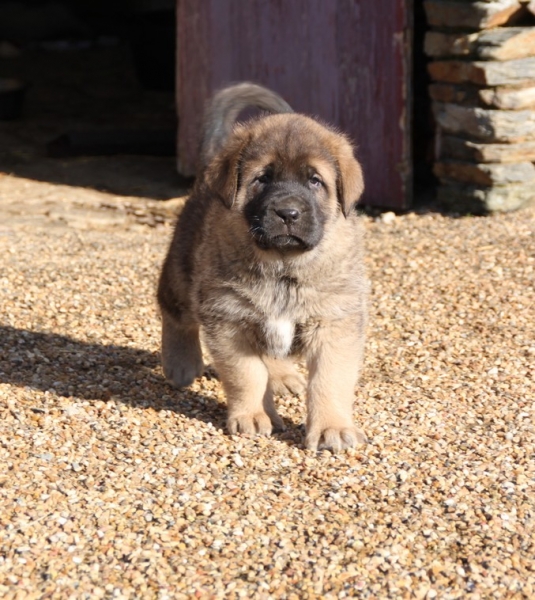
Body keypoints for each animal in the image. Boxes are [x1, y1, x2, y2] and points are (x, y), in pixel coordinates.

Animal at [157, 83, 370, 450]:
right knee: (174, 314)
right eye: (262, 179)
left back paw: (283, 377)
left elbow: (330, 380)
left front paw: (332, 427)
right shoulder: (230, 323)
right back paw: (181, 364)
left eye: (315, 181)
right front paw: (254, 416)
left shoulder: (334, 324)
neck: (283, 267)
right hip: (181, 272)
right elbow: (248, 376)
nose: (287, 212)